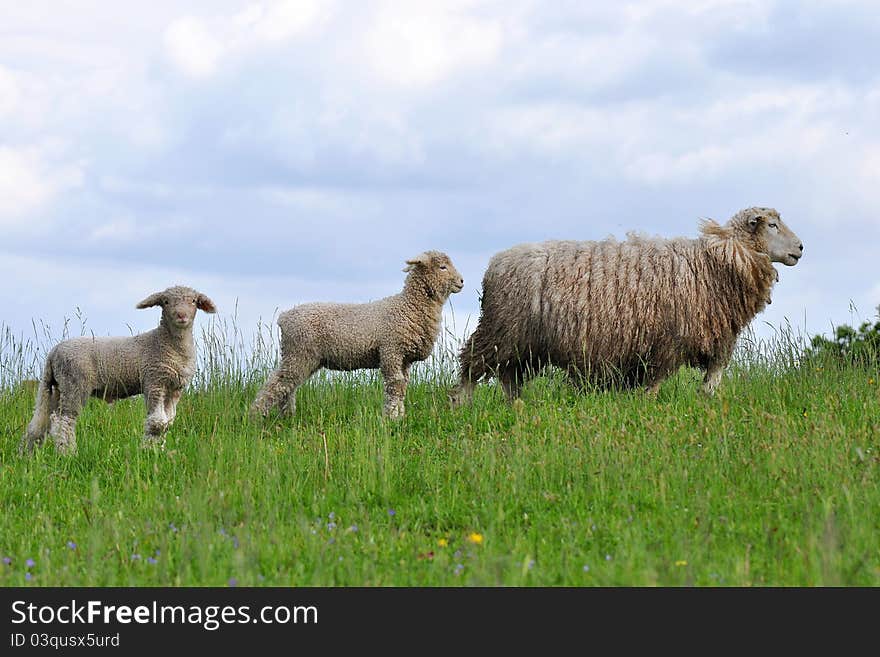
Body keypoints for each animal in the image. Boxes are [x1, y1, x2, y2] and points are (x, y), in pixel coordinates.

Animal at [20, 284, 217, 454]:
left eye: (193, 301)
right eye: (166, 301)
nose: (181, 315)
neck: (166, 344)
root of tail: (53, 352)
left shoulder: (174, 388)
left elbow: (167, 423)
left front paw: (158, 451)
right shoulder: (154, 380)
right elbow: (157, 423)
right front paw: (147, 451)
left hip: (57, 387)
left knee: (41, 422)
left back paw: (29, 455)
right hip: (74, 383)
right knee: (63, 421)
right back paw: (68, 453)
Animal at [251, 251, 464, 420]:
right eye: (442, 267)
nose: (462, 281)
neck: (408, 306)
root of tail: (284, 316)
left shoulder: (404, 359)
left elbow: (402, 386)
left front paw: (399, 415)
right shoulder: (391, 351)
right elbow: (394, 385)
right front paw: (391, 417)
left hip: (303, 357)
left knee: (288, 385)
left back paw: (286, 416)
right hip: (299, 352)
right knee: (277, 384)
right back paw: (255, 416)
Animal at [454, 205, 804, 402]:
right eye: (772, 225)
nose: (801, 247)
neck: (711, 263)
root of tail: (494, 264)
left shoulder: (714, 336)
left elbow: (713, 376)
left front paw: (705, 401)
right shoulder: (668, 341)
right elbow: (656, 383)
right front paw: (646, 406)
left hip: (520, 340)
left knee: (508, 376)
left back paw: (517, 407)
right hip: (501, 329)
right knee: (472, 366)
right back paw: (460, 405)